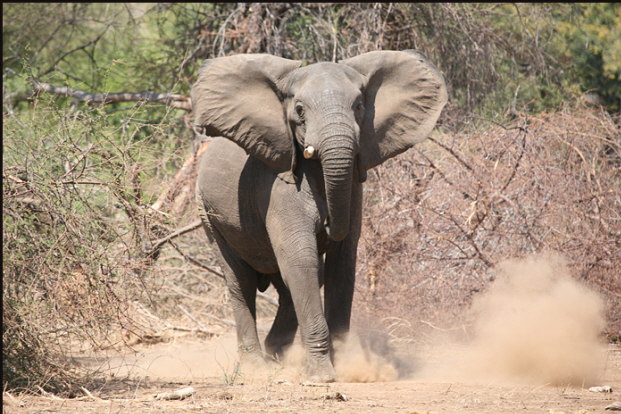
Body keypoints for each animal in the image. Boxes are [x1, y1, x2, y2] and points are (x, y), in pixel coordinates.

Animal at [193, 49, 446, 382]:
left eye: (359, 106)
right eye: (299, 110)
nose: (326, 223)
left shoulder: (353, 188)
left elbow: (341, 267)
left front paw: (345, 366)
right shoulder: (276, 186)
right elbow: (302, 261)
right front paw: (322, 376)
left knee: (291, 286)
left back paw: (277, 356)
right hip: (209, 215)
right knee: (241, 281)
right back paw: (256, 367)